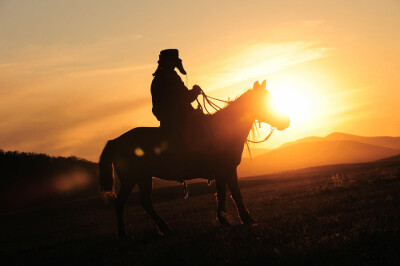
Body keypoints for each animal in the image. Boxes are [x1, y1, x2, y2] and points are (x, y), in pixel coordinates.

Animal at [98, 79, 290, 237]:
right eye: (262, 101)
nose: (286, 122)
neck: (225, 129)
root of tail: (115, 141)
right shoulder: (227, 170)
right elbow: (235, 194)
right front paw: (247, 220)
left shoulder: (222, 172)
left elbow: (222, 194)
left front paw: (225, 220)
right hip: (131, 179)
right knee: (121, 202)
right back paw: (124, 234)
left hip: (143, 178)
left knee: (145, 202)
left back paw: (165, 229)